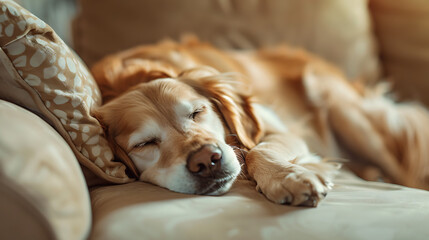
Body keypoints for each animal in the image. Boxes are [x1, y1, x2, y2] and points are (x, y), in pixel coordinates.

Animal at [90, 38, 428, 207]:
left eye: (197, 112)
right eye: (145, 144)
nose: (207, 160)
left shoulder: (279, 129)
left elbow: (254, 150)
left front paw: (287, 178)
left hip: (342, 108)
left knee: (404, 171)